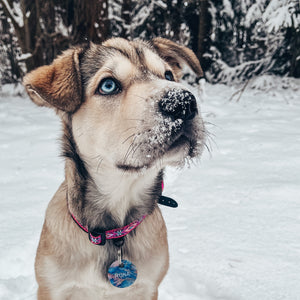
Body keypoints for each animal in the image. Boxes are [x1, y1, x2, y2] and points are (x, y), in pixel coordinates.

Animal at [23, 38, 206, 300]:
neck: (114, 229)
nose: (182, 103)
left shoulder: (148, 287)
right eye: (108, 85)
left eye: (169, 75)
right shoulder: (51, 288)